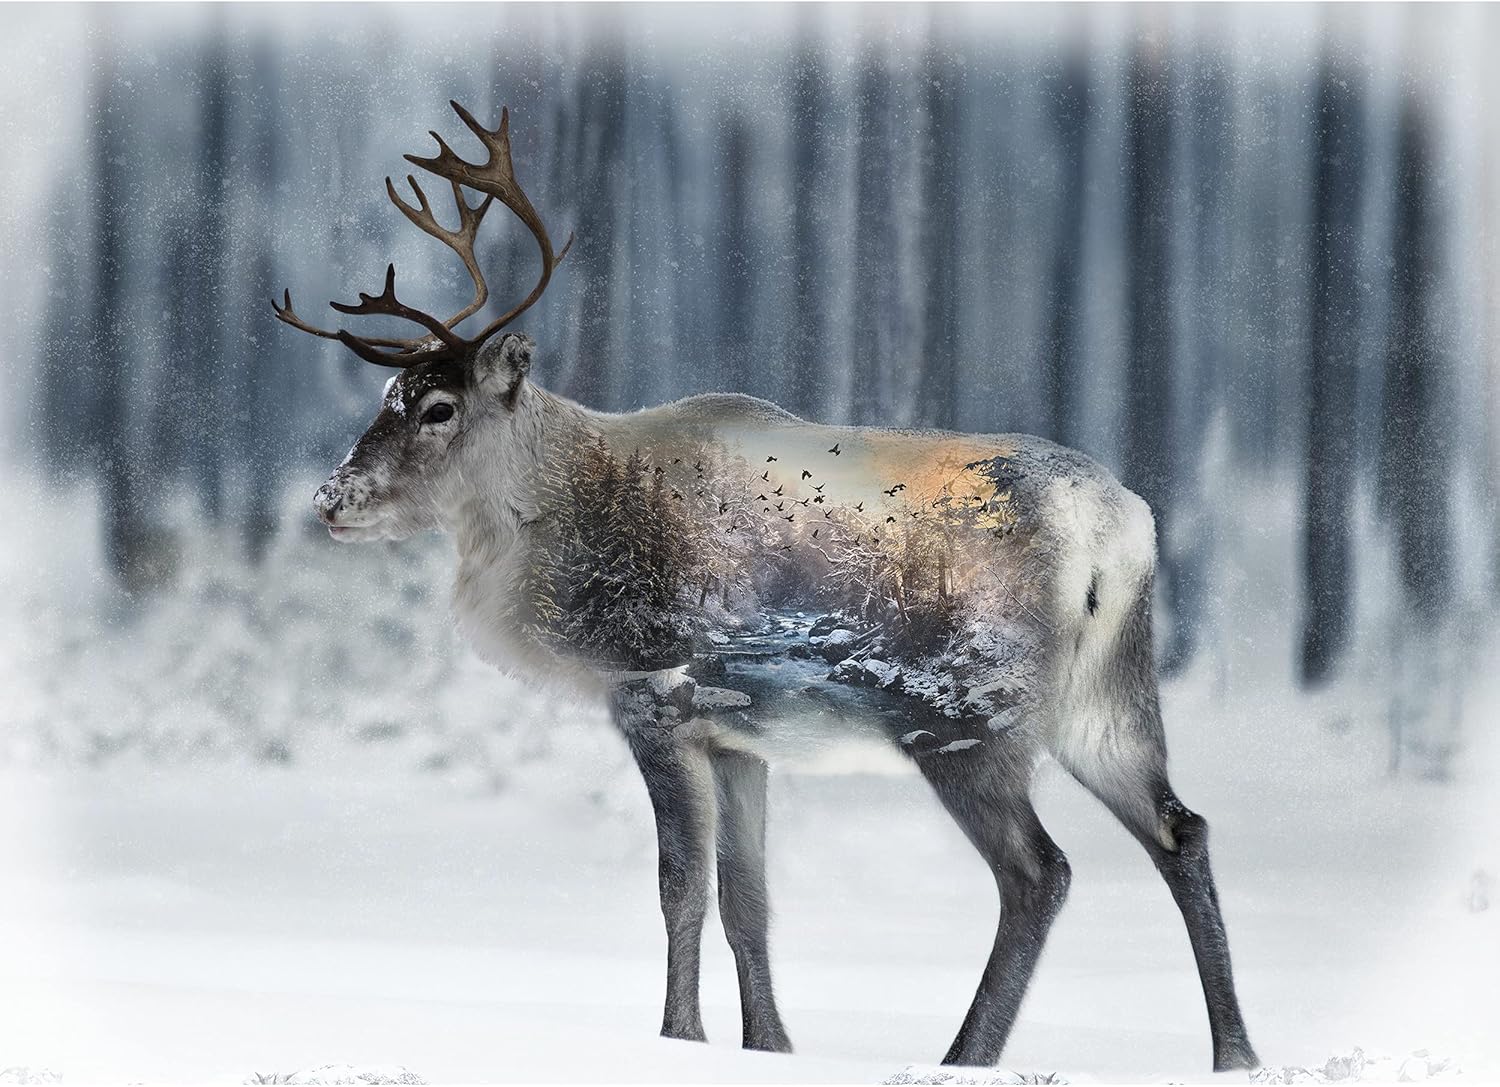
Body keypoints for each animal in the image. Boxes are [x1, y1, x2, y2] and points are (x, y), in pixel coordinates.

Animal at [274, 101, 1259, 1073]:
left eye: (439, 408)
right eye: (387, 397)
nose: (330, 499)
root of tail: (1117, 529)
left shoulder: (656, 695)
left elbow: (679, 889)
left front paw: (677, 1036)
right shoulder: (741, 734)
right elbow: (747, 899)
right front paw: (771, 1043)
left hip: (964, 715)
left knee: (1040, 871)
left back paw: (963, 1053)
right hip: (1107, 698)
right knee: (1183, 828)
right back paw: (1236, 1051)